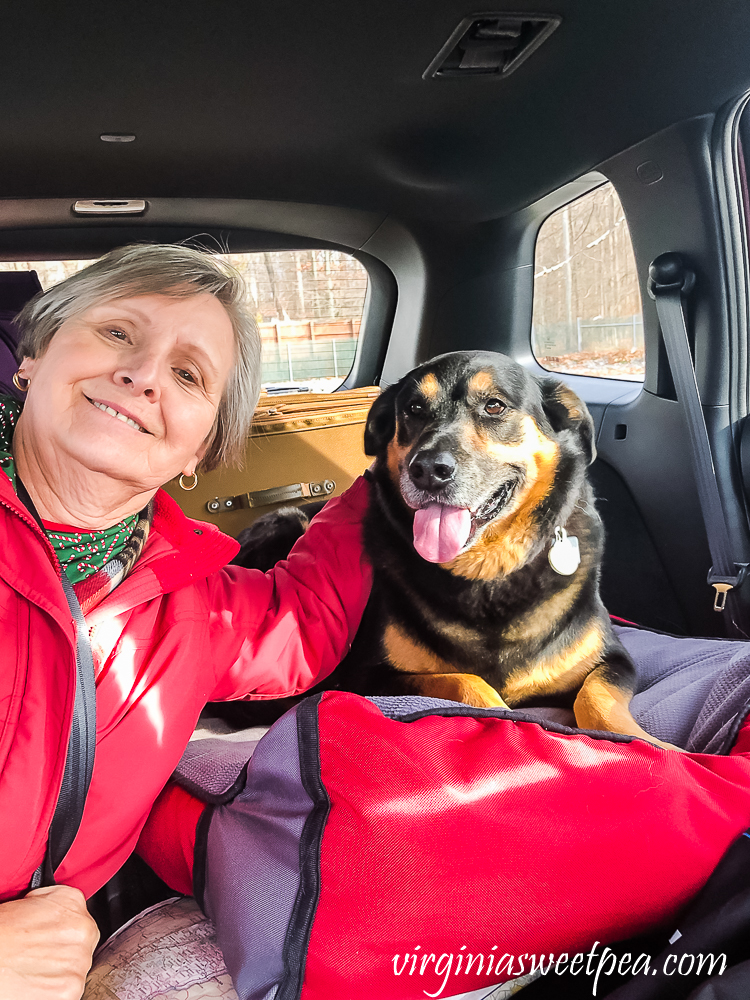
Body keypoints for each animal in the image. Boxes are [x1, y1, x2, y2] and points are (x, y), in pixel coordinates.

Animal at [220, 352, 672, 752]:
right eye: (414, 408)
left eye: (494, 406)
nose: (427, 470)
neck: (485, 572)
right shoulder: (368, 676)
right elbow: (467, 683)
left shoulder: (613, 660)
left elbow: (597, 696)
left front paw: (652, 745)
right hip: (290, 520)